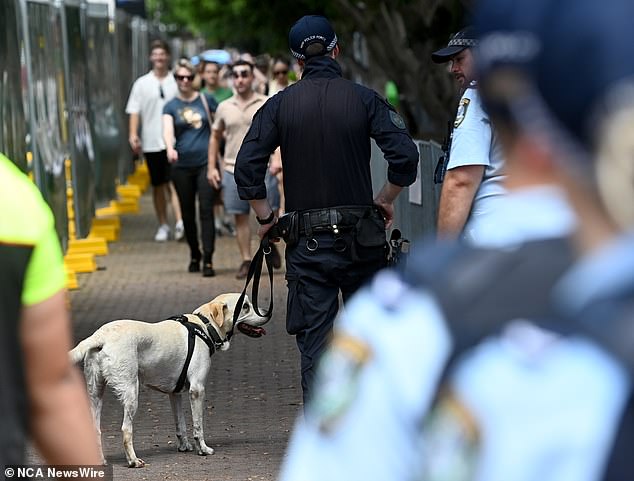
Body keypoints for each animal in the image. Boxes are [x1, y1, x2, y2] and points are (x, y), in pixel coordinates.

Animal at [69, 292, 266, 464]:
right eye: (246, 306)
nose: (266, 313)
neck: (204, 325)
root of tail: (100, 335)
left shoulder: (175, 394)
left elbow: (181, 424)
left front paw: (184, 446)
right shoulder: (197, 390)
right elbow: (198, 426)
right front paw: (202, 449)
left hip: (95, 393)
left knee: (95, 430)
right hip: (131, 393)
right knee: (126, 429)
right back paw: (133, 461)